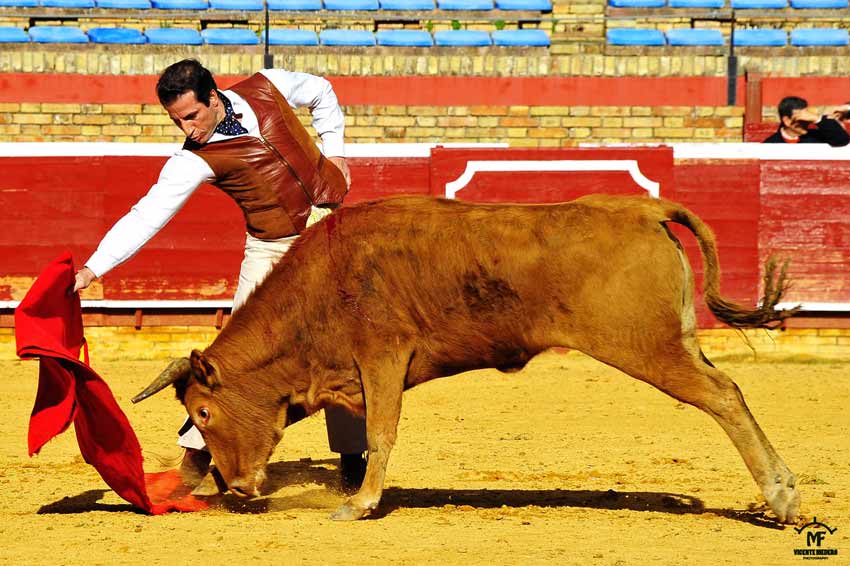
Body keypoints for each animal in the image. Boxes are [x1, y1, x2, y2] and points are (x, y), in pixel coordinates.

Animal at [131, 195, 796, 524]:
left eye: (203, 412)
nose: (239, 487)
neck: (323, 283)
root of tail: (640, 209)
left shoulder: (382, 355)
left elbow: (380, 431)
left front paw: (360, 504)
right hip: (676, 341)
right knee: (725, 389)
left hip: (647, 347)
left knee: (725, 395)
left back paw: (782, 497)